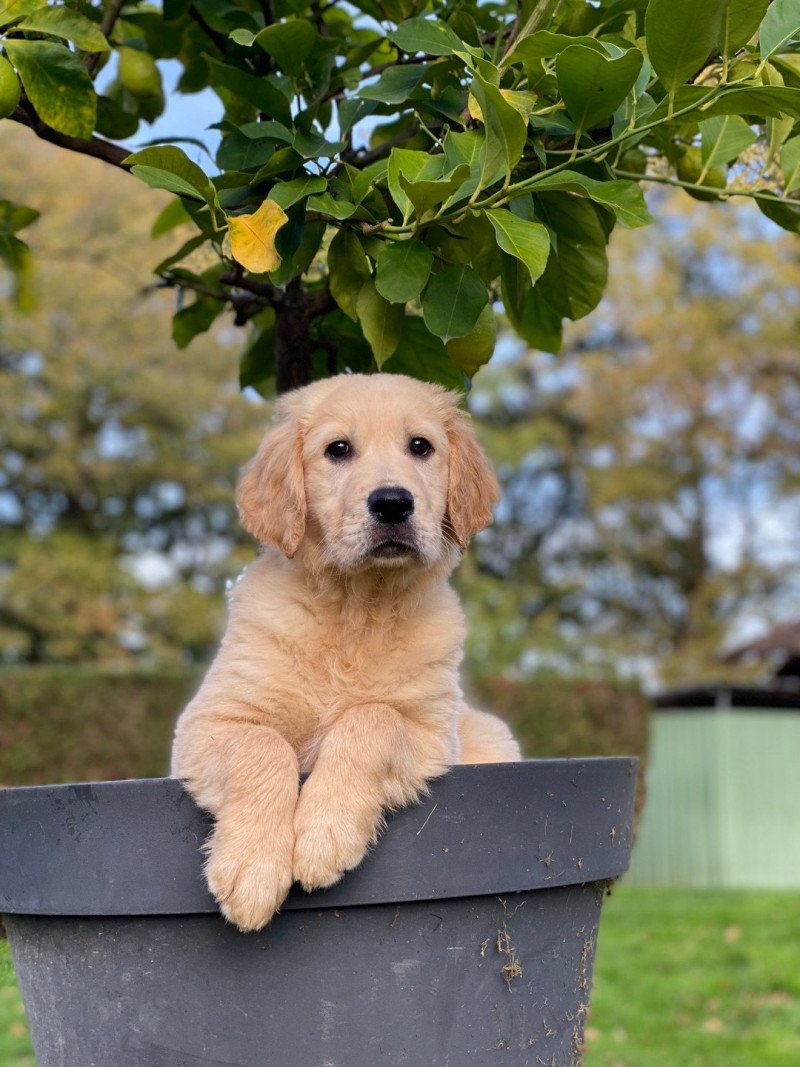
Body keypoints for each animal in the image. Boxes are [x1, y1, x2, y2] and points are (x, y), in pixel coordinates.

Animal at [172, 375, 522, 934]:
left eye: (420, 446)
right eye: (338, 449)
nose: (393, 503)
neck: (357, 611)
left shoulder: (427, 729)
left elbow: (372, 717)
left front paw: (323, 832)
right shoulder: (211, 722)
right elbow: (261, 745)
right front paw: (251, 867)